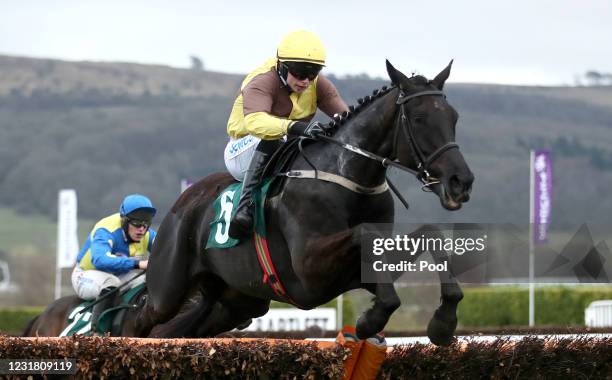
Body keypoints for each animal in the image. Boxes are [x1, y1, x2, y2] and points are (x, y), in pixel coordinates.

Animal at [136, 61, 476, 344]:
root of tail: (182, 204)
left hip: (234, 303)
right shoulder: (310, 271)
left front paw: (443, 322)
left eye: (454, 118)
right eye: (419, 118)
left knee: (171, 332)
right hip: (167, 291)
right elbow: (365, 234)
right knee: (140, 321)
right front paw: (369, 321)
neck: (347, 176)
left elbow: (429, 233)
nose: (461, 182)